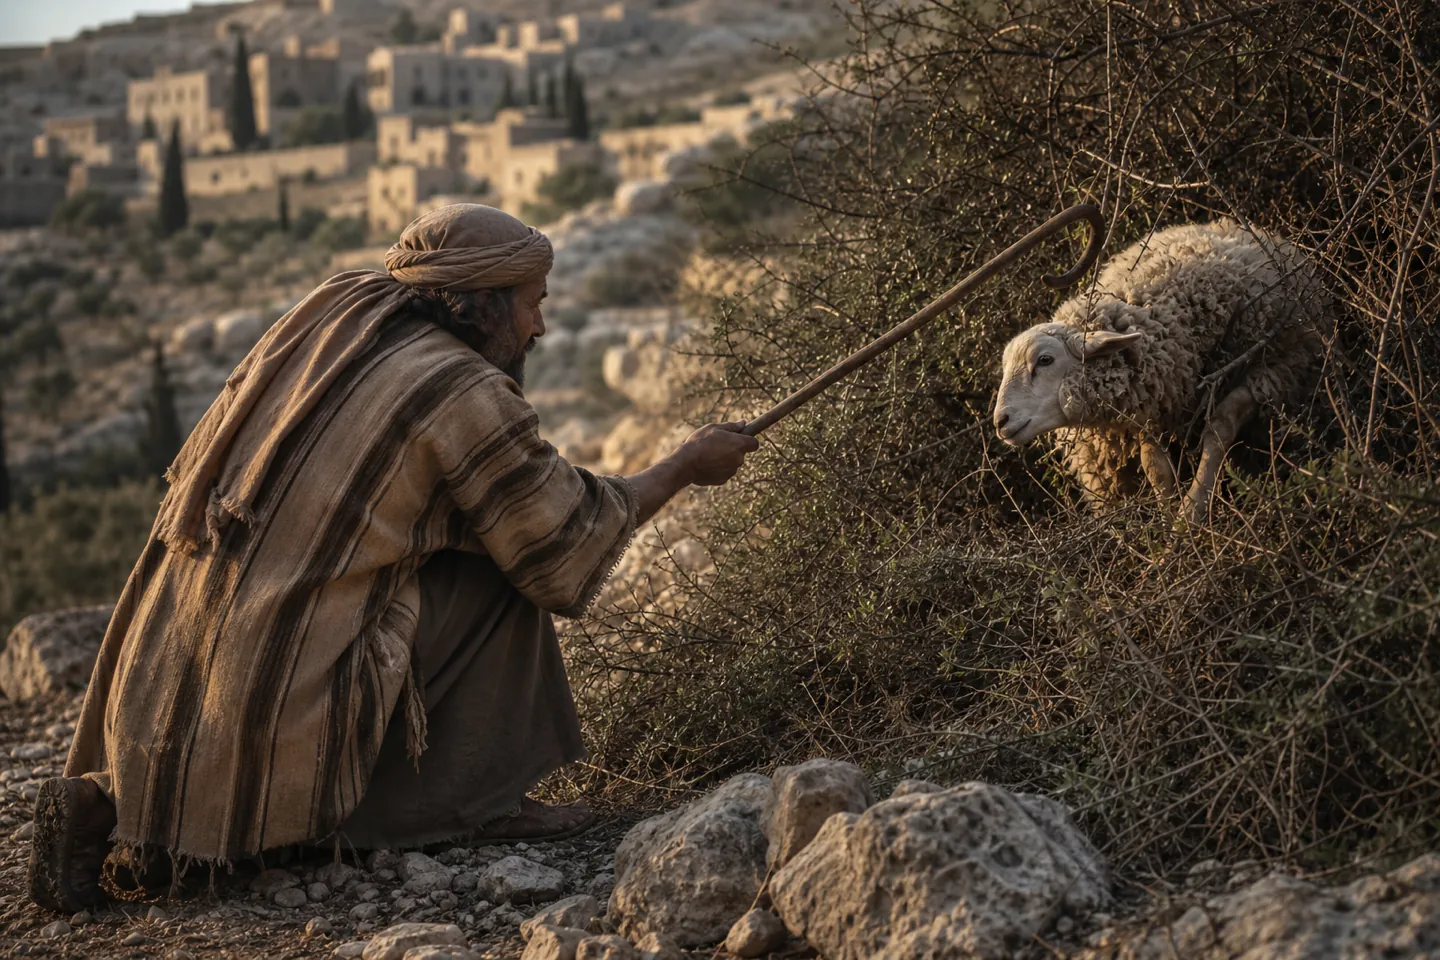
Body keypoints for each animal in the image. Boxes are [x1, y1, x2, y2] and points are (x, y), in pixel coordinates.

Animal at [992, 220, 1332, 521]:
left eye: (1045, 360)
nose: (1000, 422)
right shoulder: (1150, 402)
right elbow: (1153, 463)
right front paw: (1167, 521)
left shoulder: (1277, 366)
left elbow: (1221, 423)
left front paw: (1191, 512)